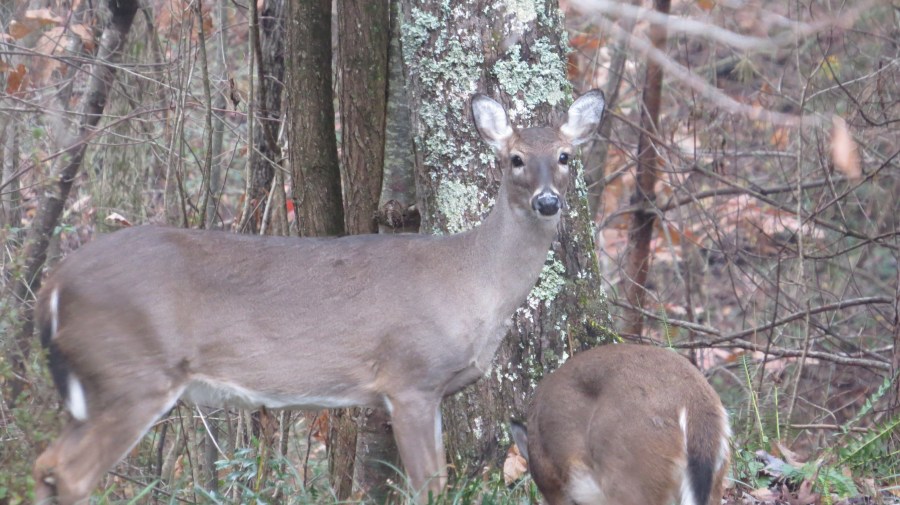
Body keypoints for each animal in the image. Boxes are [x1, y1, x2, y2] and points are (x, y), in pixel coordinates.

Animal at [32, 89, 606, 504]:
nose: (548, 201)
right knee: (71, 473)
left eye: (565, 156)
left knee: (45, 466)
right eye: (515, 159)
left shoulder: (432, 389)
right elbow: (429, 486)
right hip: (133, 373)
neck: (470, 281)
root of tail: (52, 286)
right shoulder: (410, 377)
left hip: (98, 385)